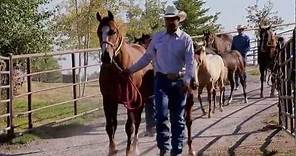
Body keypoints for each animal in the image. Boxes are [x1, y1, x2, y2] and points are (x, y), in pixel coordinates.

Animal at [96, 10, 154, 155]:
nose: (106, 57)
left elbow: (129, 127)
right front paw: (112, 149)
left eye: (113, 31)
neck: (118, 71)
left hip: (139, 101)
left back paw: (135, 146)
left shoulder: (130, 101)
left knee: (137, 122)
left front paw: (128, 151)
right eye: (99, 32)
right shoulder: (108, 100)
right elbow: (110, 126)